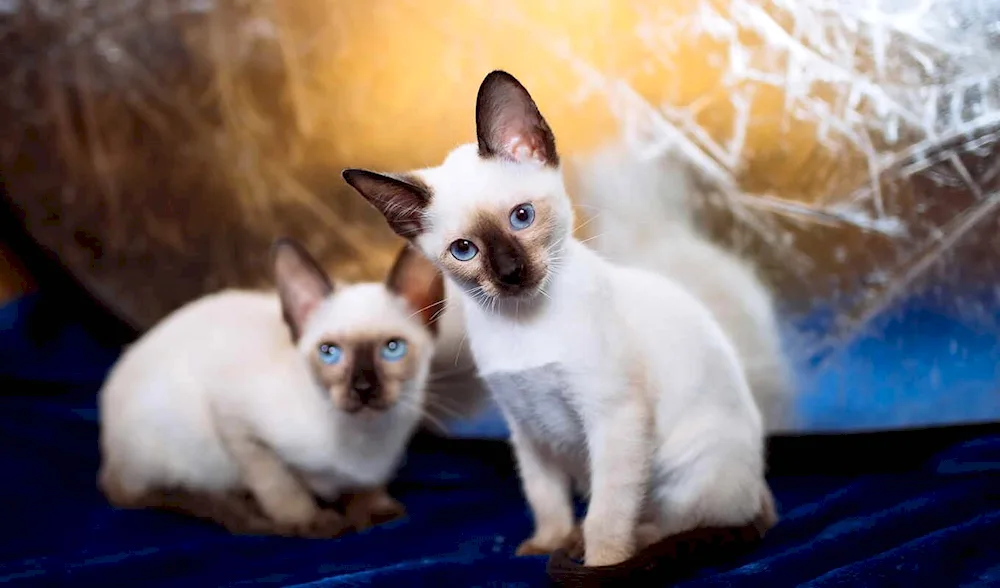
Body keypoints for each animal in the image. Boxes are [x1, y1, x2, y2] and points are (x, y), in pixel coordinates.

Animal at [96, 237, 442, 536]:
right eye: (329, 352)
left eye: (392, 349)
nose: (363, 388)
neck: (365, 441)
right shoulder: (236, 423)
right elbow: (281, 485)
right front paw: (309, 521)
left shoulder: (371, 470)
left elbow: (367, 488)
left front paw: (375, 510)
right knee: (140, 494)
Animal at [342, 71, 772, 568]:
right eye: (464, 250)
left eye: (522, 217)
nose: (511, 273)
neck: (524, 324)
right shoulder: (527, 428)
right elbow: (545, 499)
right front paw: (546, 545)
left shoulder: (613, 420)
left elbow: (607, 515)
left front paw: (603, 562)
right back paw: (569, 543)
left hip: (686, 468)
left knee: (687, 521)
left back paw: (625, 544)